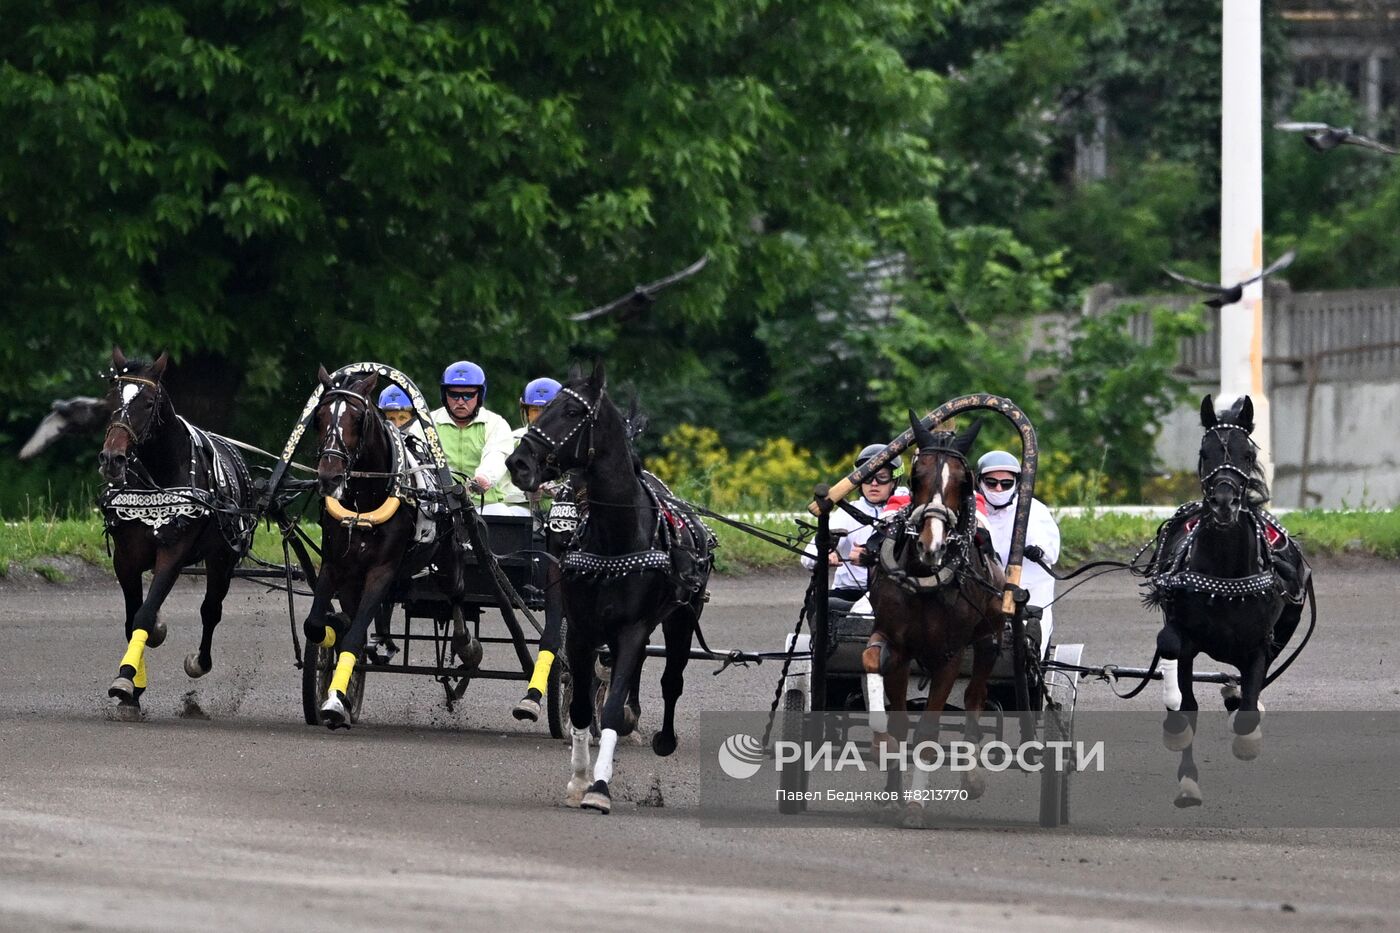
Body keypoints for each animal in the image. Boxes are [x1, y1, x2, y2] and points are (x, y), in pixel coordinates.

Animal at [100, 344, 256, 714]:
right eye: (112, 397)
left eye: (147, 403)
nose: (112, 458)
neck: (159, 476)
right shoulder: (125, 558)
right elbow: (133, 619)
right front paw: (133, 689)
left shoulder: (173, 553)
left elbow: (144, 615)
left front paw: (125, 679)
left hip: (222, 558)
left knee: (211, 609)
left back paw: (200, 661)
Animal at [301, 364, 476, 728]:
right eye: (319, 416)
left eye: (357, 418)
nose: (329, 476)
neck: (363, 501)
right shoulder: (337, 566)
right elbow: (318, 625)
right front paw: (337, 661)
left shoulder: (381, 570)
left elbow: (355, 635)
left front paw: (336, 700)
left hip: (448, 561)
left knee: (457, 598)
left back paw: (465, 648)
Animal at [506, 358, 711, 812]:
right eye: (545, 408)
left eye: (572, 412)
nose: (519, 463)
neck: (616, 537)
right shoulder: (582, 628)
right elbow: (582, 705)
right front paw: (579, 780)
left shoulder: (633, 627)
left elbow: (614, 706)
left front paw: (599, 788)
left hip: (683, 615)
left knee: (671, 677)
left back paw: (663, 737)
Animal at [862, 411, 1008, 818]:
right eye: (916, 476)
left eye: (963, 479)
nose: (932, 545)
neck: (926, 579)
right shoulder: (896, 645)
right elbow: (893, 713)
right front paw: (883, 756)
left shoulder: (950, 654)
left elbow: (928, 731)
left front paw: (915, 803)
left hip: (989, 637)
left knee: (975, 697)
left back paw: (972, 777)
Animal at [1148, 392, 1310, 806]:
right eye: (1204, 452)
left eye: (1248, 454)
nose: (1223, 501)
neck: (1224, 575)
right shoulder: (1184, 635)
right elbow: (1182, 690)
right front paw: (1186, 774)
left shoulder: (1259, 643)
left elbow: (1250, 706)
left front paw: (1247, 735)